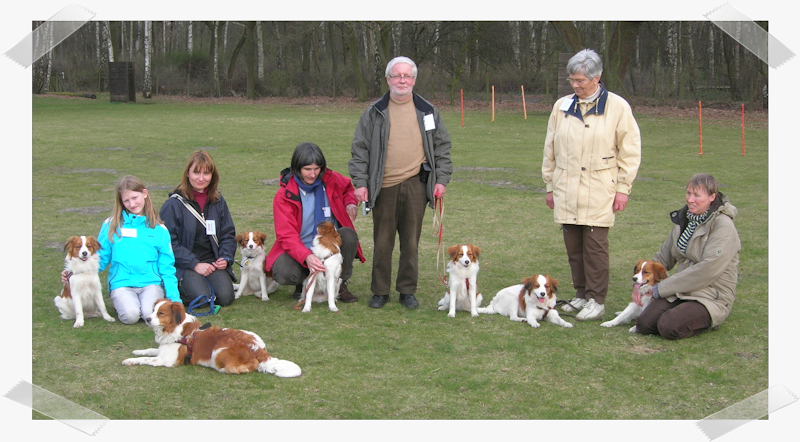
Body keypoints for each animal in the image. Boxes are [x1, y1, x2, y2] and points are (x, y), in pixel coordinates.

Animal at [123, 298, 302, 378]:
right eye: (153, 310)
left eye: (161, 313)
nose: (147, 319)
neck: (175, 328)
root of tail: (258, 349)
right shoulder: (162, 350)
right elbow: (148, 350)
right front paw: (137, 351)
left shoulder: (166, 360)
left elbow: (146, 359)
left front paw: (129, 361)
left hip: (218, 351)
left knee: (249, 367)